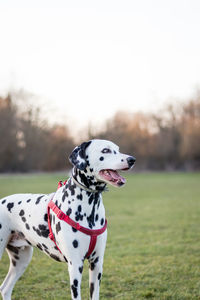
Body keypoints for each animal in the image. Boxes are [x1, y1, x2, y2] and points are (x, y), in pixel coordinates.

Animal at [0, 140, 136, 300]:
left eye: (118, 149)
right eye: (105, 150)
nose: (132, 159)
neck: (89, 208)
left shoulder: (97, 264)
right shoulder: (75, 265)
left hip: (22, 259)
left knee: (5, 288)